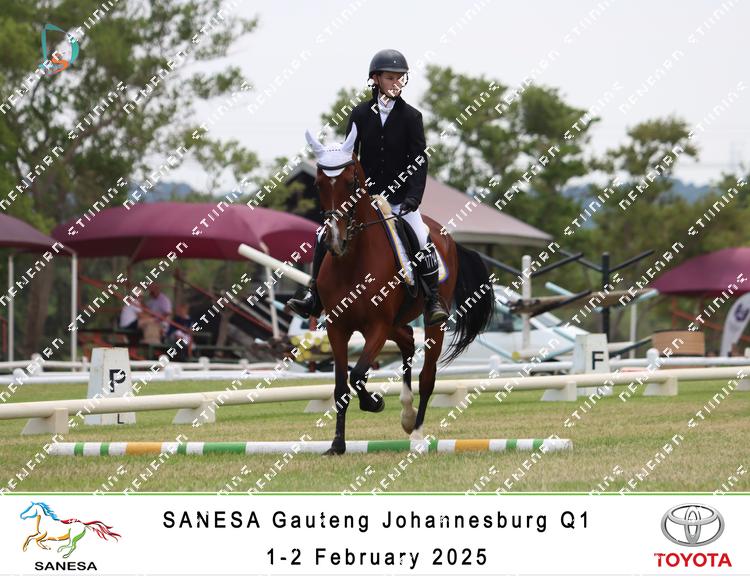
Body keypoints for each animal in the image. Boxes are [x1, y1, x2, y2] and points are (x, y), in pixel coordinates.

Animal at [305, 124, 495, 455]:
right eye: (319, 184)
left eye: (351, 182)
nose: (335, 241)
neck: (352, 262)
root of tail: (446, 237)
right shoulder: (338, 329)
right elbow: (341, 386)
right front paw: (337, 444)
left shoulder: (377, 327)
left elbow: (357, 375)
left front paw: (374, 403)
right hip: (397, 323)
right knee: (406, 341)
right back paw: (406, 415)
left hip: (432, 323)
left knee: (427, 375)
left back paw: (416, 433)